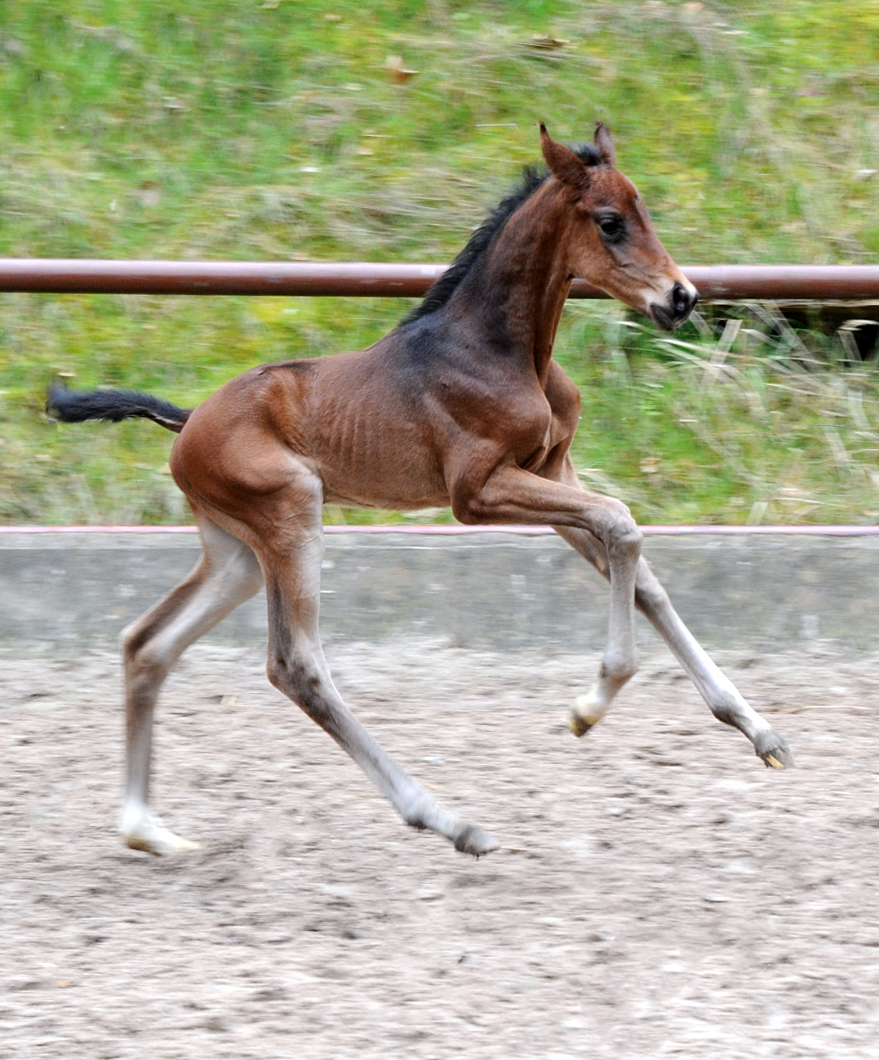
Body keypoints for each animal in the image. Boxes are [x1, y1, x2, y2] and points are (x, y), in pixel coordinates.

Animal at [47, 124, 793, 856]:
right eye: (609, 222)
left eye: (646, 212)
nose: (680, 297)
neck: (498, 351)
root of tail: (188, 421)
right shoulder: (478, 494)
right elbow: (621, 524)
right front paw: (590, 706)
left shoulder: (553, 470)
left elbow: (639, 572)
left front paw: (757, 731)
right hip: (292, 514)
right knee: (295, 665)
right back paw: (448, 820)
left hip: (237, 552)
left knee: (148, 644)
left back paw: (148, 830)